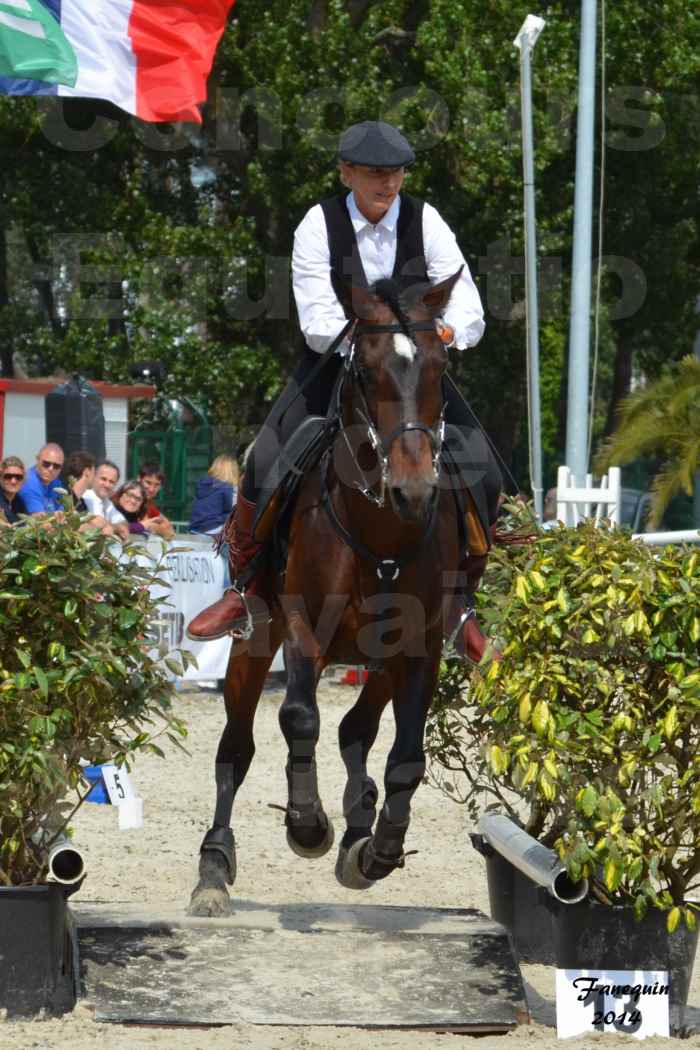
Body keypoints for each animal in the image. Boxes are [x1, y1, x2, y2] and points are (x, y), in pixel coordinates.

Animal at [192, 273, 465, 919]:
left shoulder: (420, 649)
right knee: (236, 748)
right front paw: (307, 824)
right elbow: (298, 718)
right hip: (253, 641)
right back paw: (213, 868)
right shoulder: (301, 631)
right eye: (364, 370)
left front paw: (379, 849)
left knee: (356, 732)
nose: (413, 489)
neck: (381, 531)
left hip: (380, 661)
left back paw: (361, 827)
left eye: (441, 365)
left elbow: (406, 758)